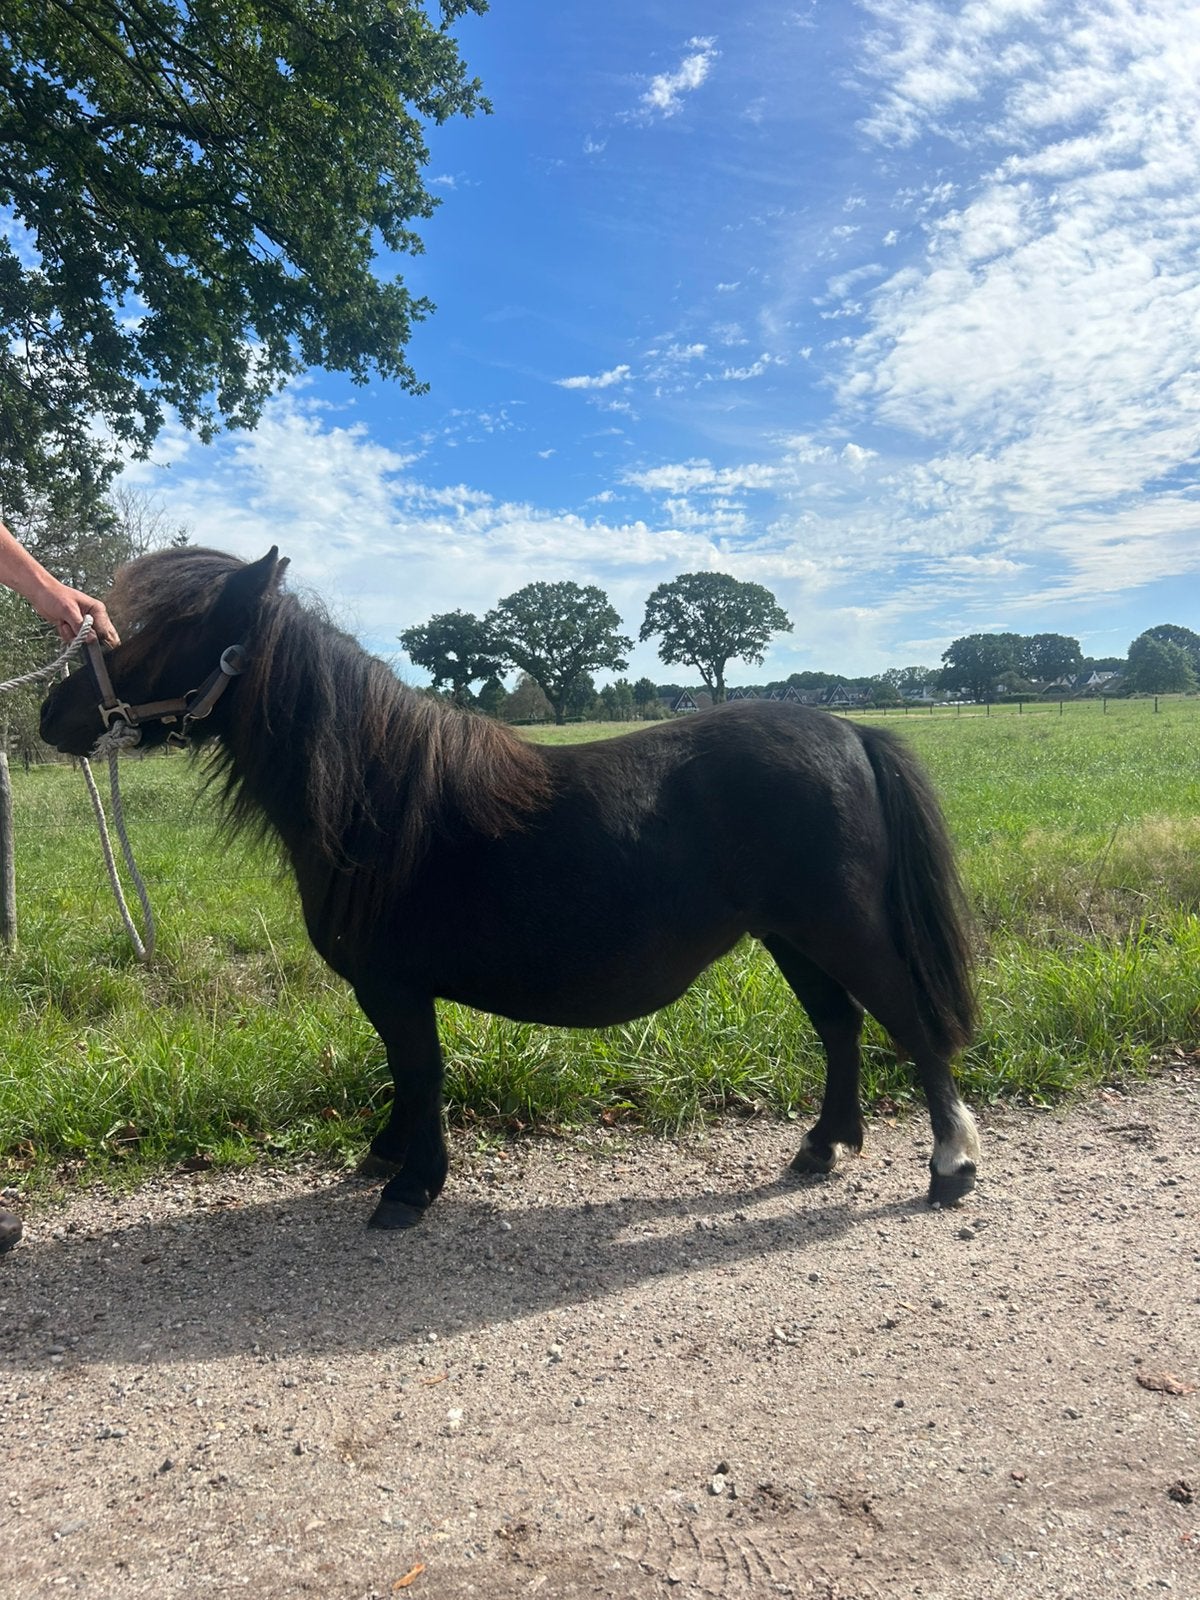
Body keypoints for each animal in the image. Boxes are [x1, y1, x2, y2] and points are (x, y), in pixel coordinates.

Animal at [40, 547, 981, 1230]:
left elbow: (419, 1070)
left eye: (174, 628)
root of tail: (850, 730)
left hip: (839, 926)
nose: (53, 714)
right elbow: (405, 1072)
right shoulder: (389, 989)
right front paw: (388, 1157)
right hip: (791, 934)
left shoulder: (393, 985)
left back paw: (951, 1166)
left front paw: (411, 1187)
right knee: (841, 1026)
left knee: (909, 1022)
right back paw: (825, 1147)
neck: (377, 796)